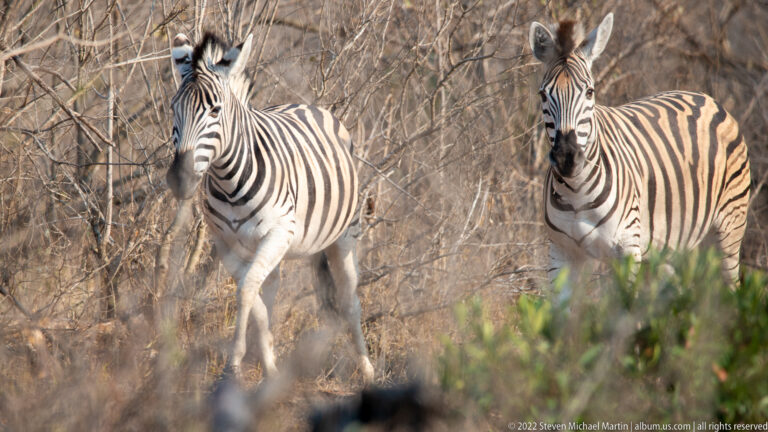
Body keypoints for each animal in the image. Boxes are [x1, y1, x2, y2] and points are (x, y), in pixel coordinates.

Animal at [166, 32, 374, 382]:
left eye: (215, 111)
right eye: (173, 108)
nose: (180, 179)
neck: (229, 182)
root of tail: (307, 105)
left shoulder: (280, 232)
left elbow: (247, 291)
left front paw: (233, 365)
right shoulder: (225, 243)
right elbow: (257, 303)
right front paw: (267, 363)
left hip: (345, 234)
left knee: (349, 299)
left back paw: (367, 367)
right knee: (272, 289)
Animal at [528, 13, 751, 294]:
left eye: (589, 92)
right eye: (543, 94)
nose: (567, 158)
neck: (576, 192)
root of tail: (705, 97)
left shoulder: (626, 250)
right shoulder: (561, 254)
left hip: (729, 229)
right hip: (672, 246)